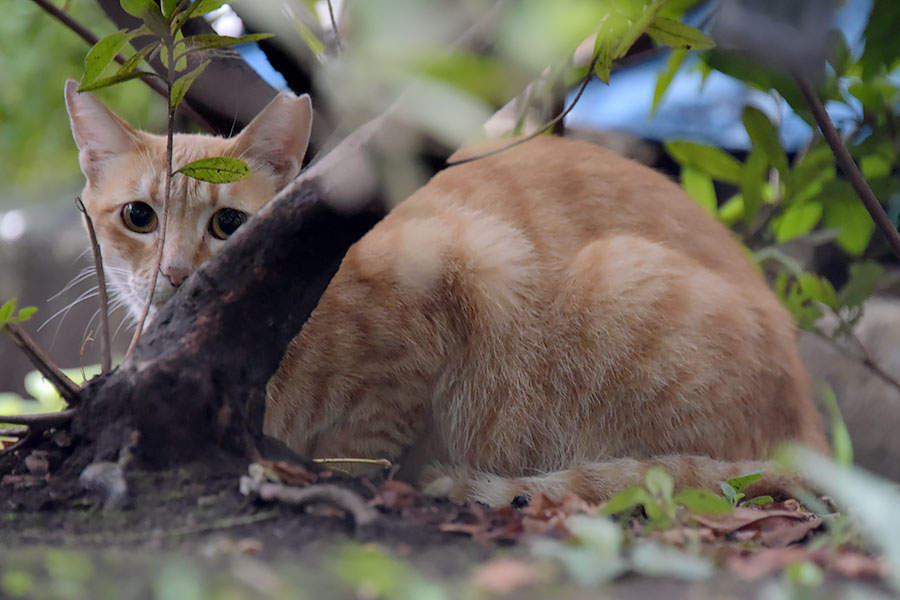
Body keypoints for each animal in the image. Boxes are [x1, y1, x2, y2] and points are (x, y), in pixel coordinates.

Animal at [65, 79, 828, 506]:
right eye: (139, 216)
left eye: (228, 225)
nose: (176, 275)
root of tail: (810, 428)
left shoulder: (464, 271)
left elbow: (362, 445)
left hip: (617, 279)